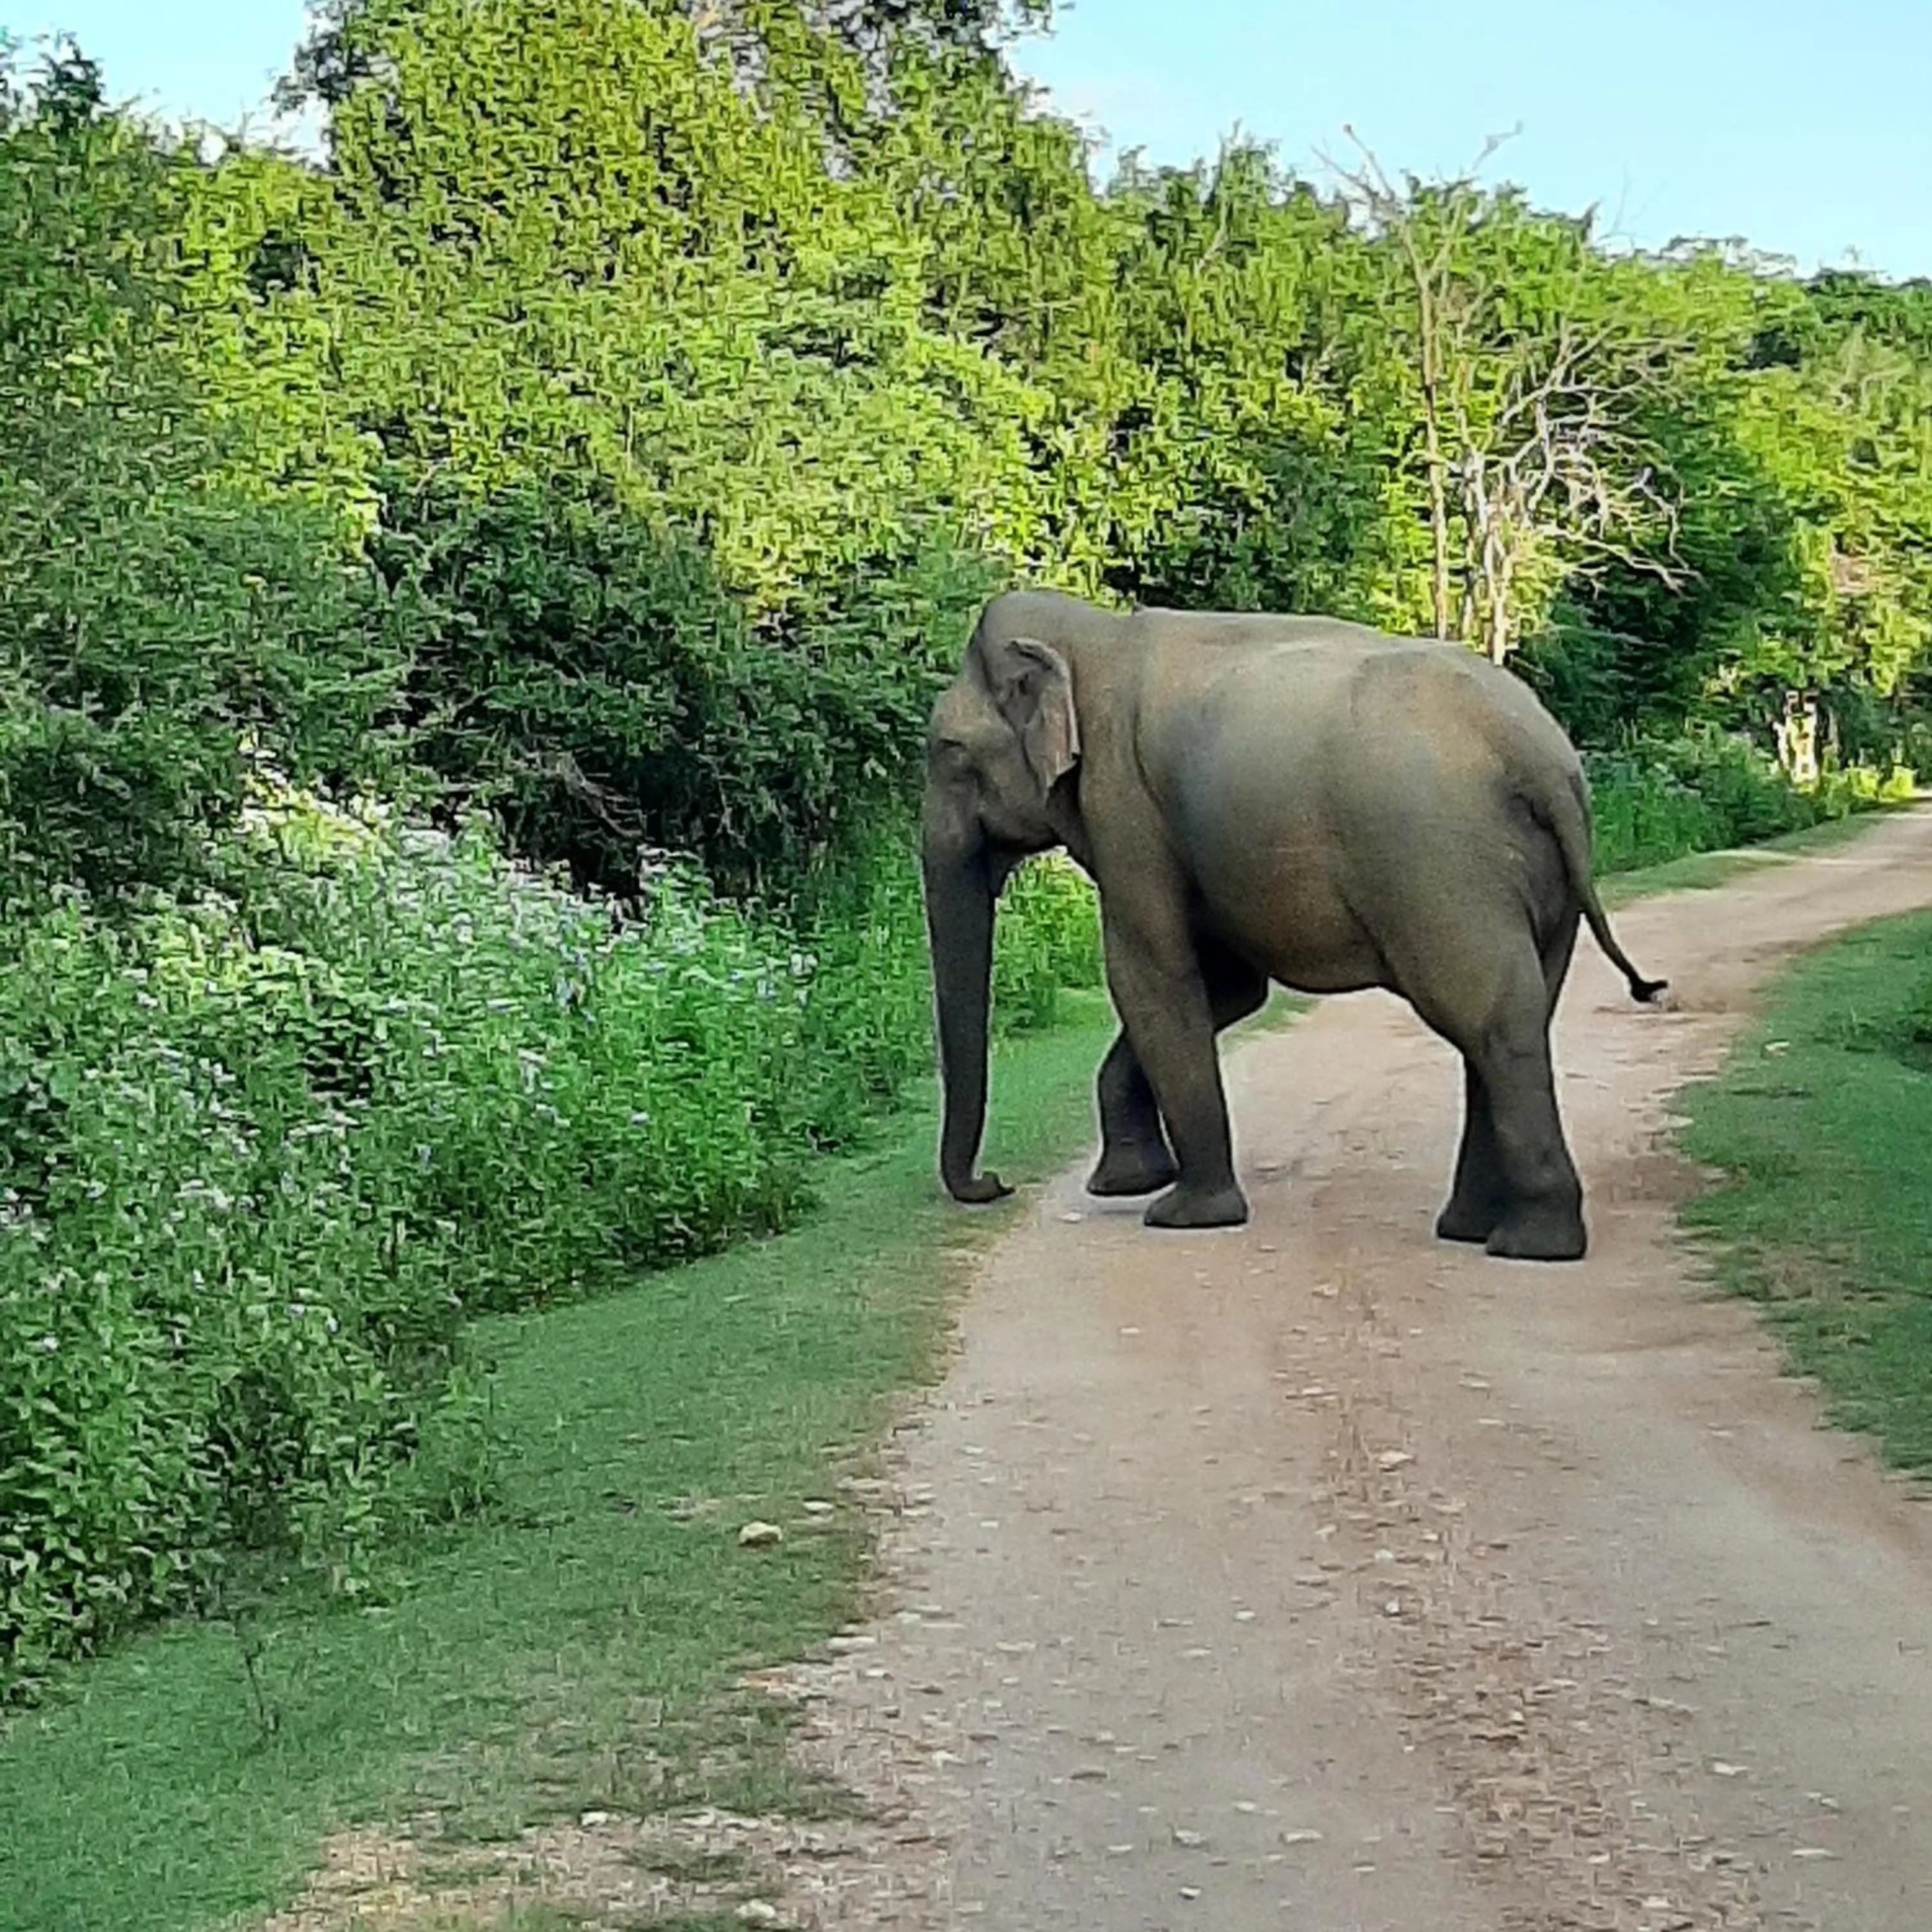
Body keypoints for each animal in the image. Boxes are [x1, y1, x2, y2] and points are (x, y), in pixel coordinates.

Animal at [919, 587, 1667, 1263]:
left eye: (948, 751)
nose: (995, 1183)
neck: (1091, 637)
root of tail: (1541, 756)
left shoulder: (1123, 803)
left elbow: (1150, 975)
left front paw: (1183, 1215)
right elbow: (1228, 987)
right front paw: (1126, 1183)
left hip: (1441, 864)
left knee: (1489, 1019)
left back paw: (1531, 1247)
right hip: (1538, 883)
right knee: (1514, 1012)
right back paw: (1473, 1230)